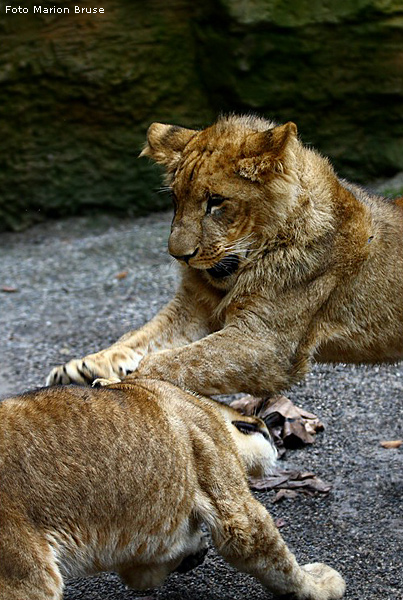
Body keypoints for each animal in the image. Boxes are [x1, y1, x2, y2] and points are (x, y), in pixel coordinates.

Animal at [0, 380, 348, 600]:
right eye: (268, 435)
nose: (277, 445)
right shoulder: (227, 489)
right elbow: (269, 550)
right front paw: (319, 585)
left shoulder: (139, 543)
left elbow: (143, 574)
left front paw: (191, 550)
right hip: (28, 576)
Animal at [45, 115, 403, 398]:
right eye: (175, 199)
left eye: (216, 202)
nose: (179, 255)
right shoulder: (192, 307)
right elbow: (140, 338)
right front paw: (81, 369)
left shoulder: (265, 343)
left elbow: (181, 361)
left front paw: (114, 384)